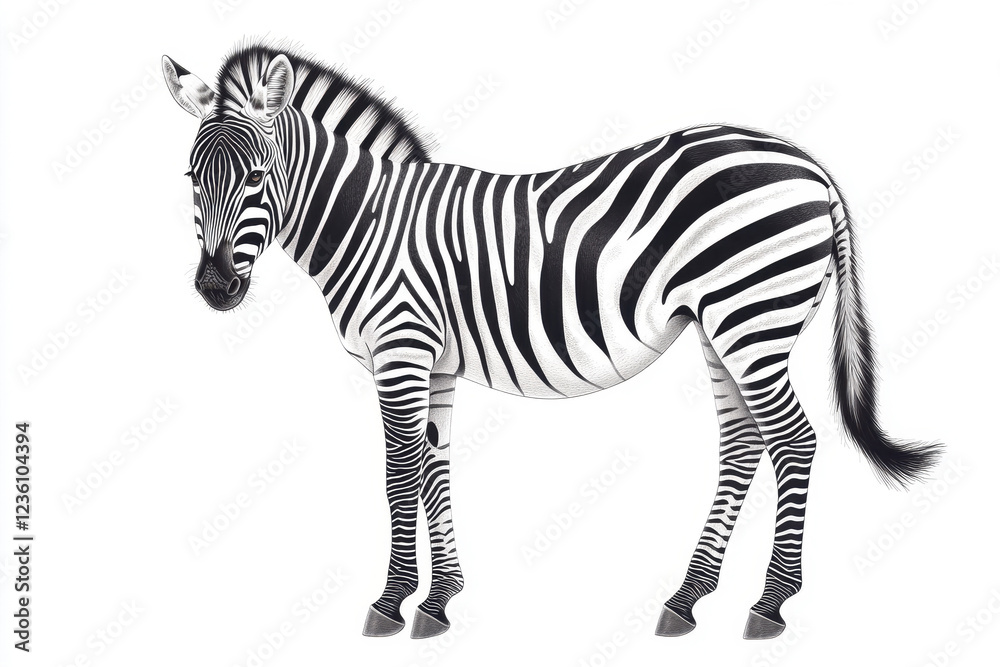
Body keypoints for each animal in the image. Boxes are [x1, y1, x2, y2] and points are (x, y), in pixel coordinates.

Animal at [162, 41, 941, 641]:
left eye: (257, 175)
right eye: (191, 178)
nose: (214, 289)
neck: (370, 222)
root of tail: (806, 161)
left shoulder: (401, 347)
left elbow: (397, 473)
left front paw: (390, 603)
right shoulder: (435, 358)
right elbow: (434, 469)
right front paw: (440, 601)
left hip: (753, 313)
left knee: (794, 440)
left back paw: (771, 605)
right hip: (726, 325)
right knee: (746, 443)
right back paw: (688, 598)